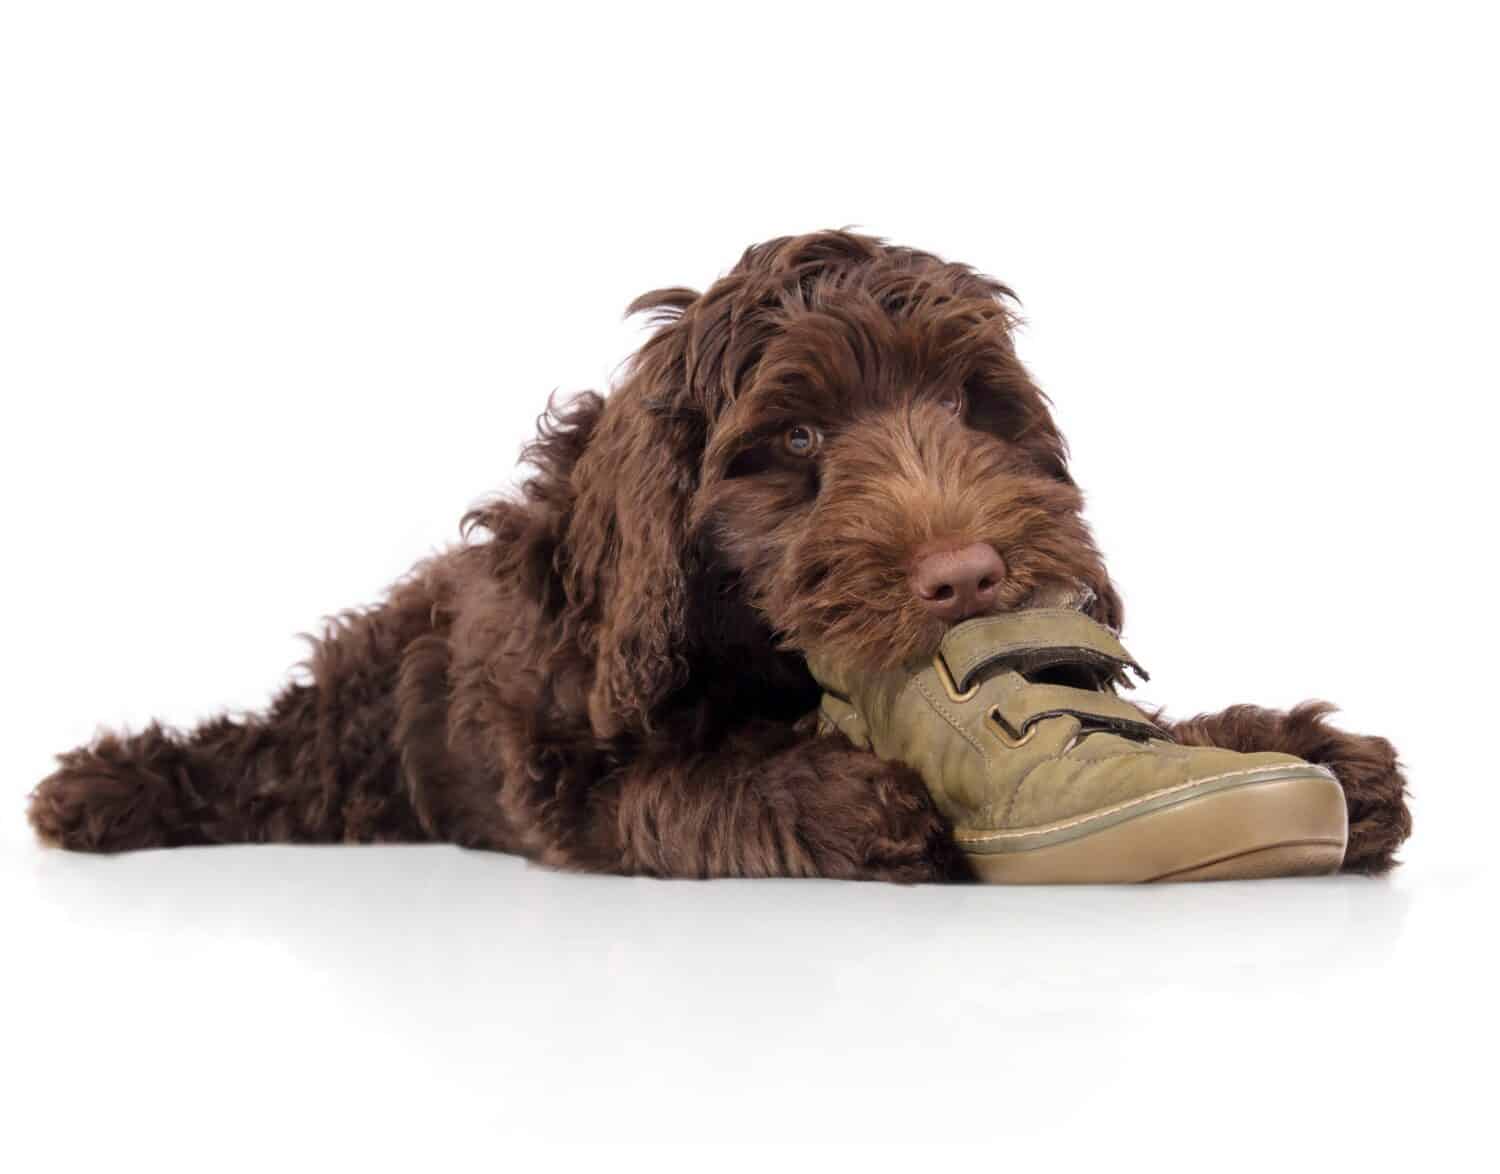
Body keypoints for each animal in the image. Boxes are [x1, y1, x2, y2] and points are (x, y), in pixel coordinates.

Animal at [26, 233, 1404, 881]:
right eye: (796, 437)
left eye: (974, 406)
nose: (967, 577)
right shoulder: (570, 774)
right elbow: (682, 785)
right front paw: (839, 795)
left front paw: (1286, 745)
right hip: (355, 729)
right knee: (266, 760)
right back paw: (96, 791)